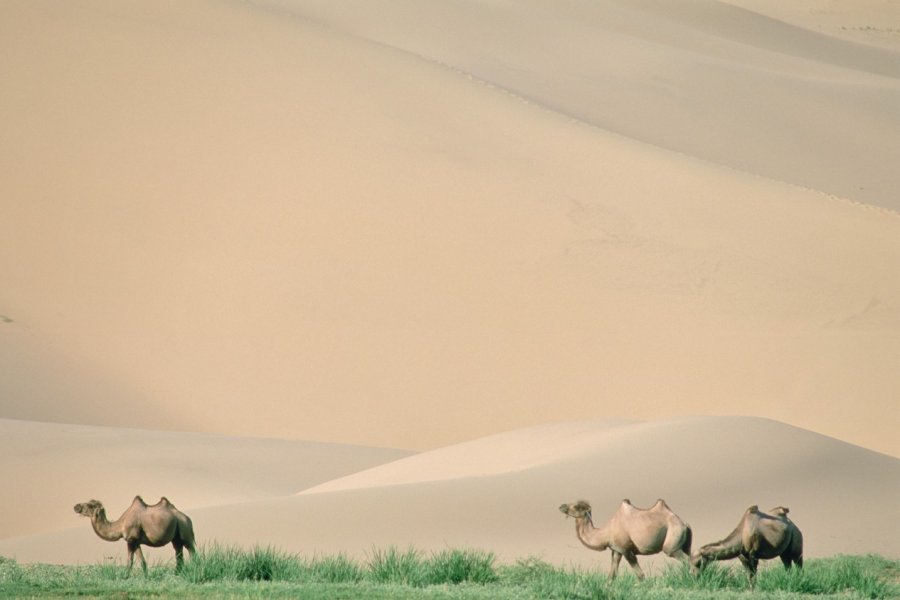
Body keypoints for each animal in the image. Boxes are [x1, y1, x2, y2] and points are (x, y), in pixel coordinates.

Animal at [560, 500, 692, 580]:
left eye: (576, 507)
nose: (562, 506)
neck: (605, 533)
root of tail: (685, 524)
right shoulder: (616, 550)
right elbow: (612, 576)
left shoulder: (626, 549)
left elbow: (640, 575)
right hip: (683, 544)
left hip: (672, 542)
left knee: (686, 559)